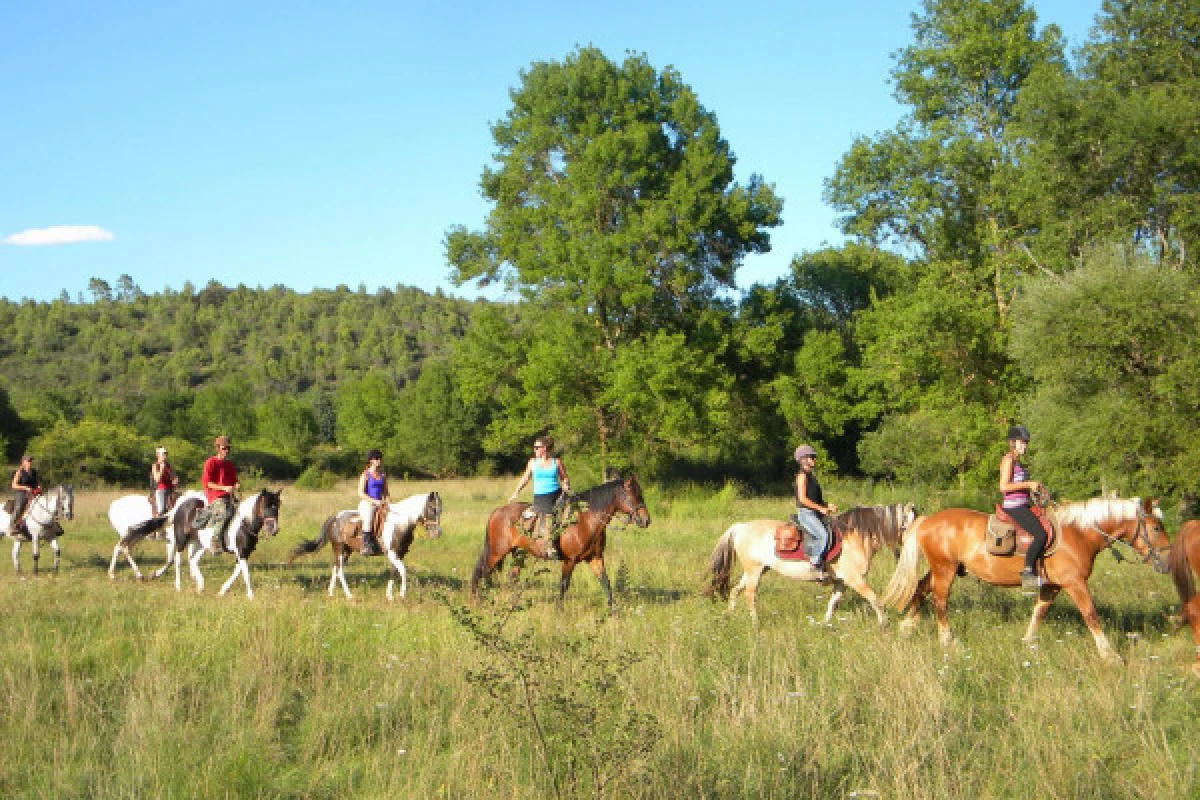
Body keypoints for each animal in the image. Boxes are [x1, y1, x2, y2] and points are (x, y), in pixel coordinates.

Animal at [287, 491, 443, 601]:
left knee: (335, 567)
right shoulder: (392, 553)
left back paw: (331, 593)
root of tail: (335, 517)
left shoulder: (398, 554)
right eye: (432, 509)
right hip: (339, 548)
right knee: (340, 571)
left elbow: (394, 572)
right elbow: (403, 571)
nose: (437, 533)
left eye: (440, 510)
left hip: (346, 551)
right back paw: (349, 595)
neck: (400, 523)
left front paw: (389, 596)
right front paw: (402, 595)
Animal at [471, 475, 651, 609]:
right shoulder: (569, 560)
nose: (646, 520)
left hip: (519, 553)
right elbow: (564, 584)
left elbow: (605, 583)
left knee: (511, 575)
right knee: (484, 572)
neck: (586, 521)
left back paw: (513, 603)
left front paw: (614, 611)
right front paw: (559, 610)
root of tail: (497, 511)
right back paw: (483, 599)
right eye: (633, 495)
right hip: (497, 551)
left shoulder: (595, 558)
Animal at [704, 503, 917, 624]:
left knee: (735, 590)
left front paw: (825, 624)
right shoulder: (854, 579)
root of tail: (740, 527)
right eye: (908, 524)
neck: (855, 537)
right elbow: (875, 600)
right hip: (754, 571)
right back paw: (756, 623)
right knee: (750, 596)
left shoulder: (841, 582)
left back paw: (728, 615)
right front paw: (884, 625)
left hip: (755, 571)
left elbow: (833, 603)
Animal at [882, 495, 1169, 663]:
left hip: (942, 569)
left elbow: (1039, 612)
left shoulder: (1052, 586)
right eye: (1156, 527)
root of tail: (927, 520)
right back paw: (947, 641)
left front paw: (1028, 643)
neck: (1078, 533)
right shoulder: (1074, 583)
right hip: (945, 570)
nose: (1166, 563)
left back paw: (907, 627)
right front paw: (1110, 655)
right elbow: (1091, 615)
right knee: (940, 602)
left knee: (921, 589)